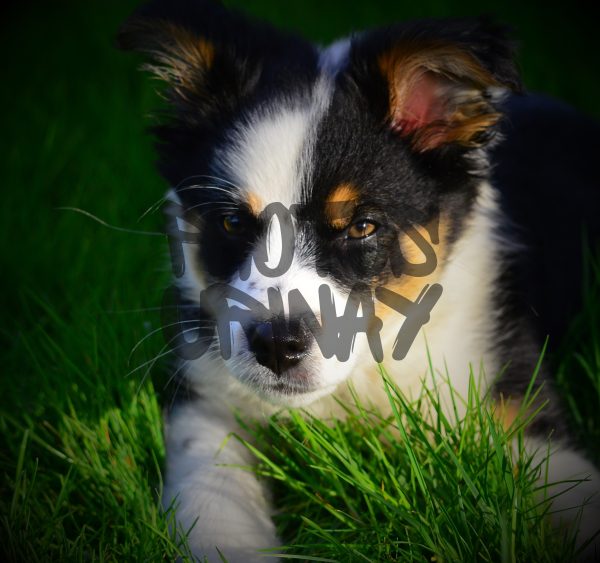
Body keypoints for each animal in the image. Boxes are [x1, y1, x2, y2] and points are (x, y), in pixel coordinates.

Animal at [118, 2, 600, 560]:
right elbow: (211, 487)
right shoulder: (207, 392)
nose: (277, 345)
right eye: (232, 223)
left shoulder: (513, 406)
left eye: (363, 226)